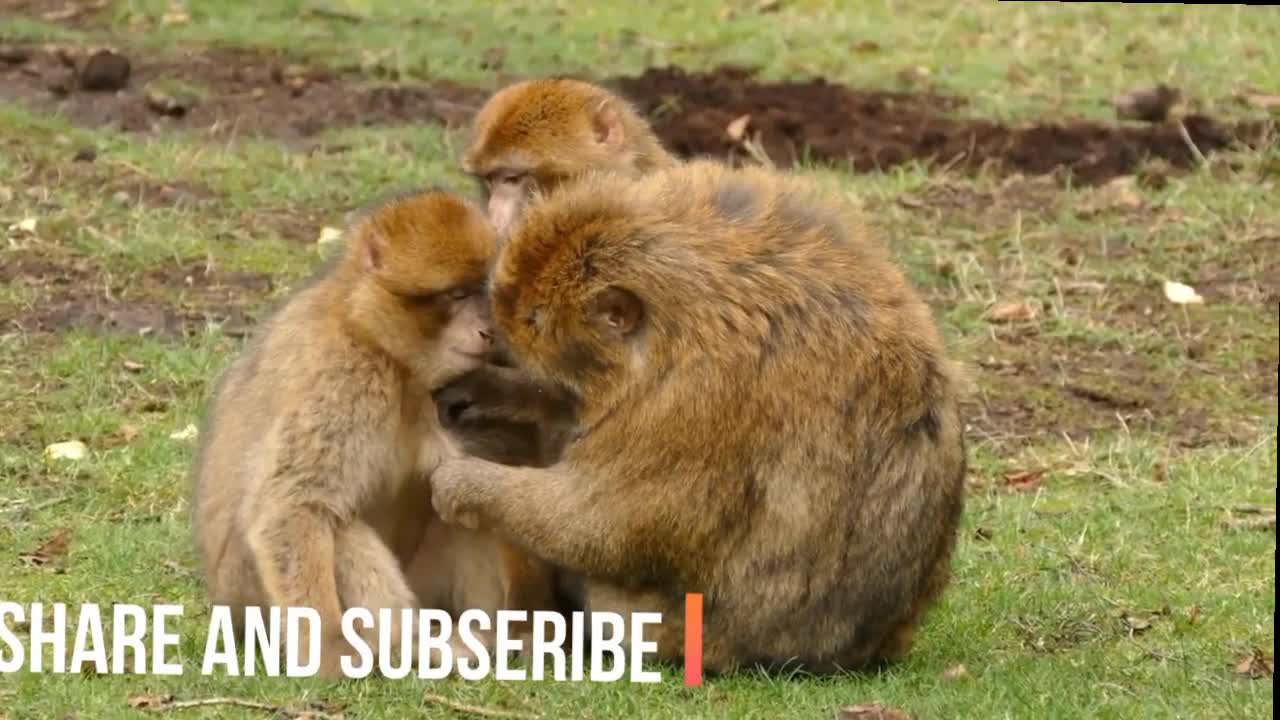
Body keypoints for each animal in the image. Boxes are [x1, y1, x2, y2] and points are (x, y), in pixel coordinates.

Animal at [190, 189, 558, 678]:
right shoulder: (342, 376)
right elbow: (291, 506)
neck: (385, 348)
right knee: (339, 527)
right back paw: (413, 645)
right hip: (251, 597)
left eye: (484, 289)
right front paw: (328, 649)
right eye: (457, 294)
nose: (488, 330)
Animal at [427, 160, 968, 675]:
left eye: (534, 320)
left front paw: (466, 485)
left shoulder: (696, 398)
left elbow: (606, 524)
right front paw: (496, 389)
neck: (680, 318)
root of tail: (870, 647)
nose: (500, 336)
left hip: (690, 631)